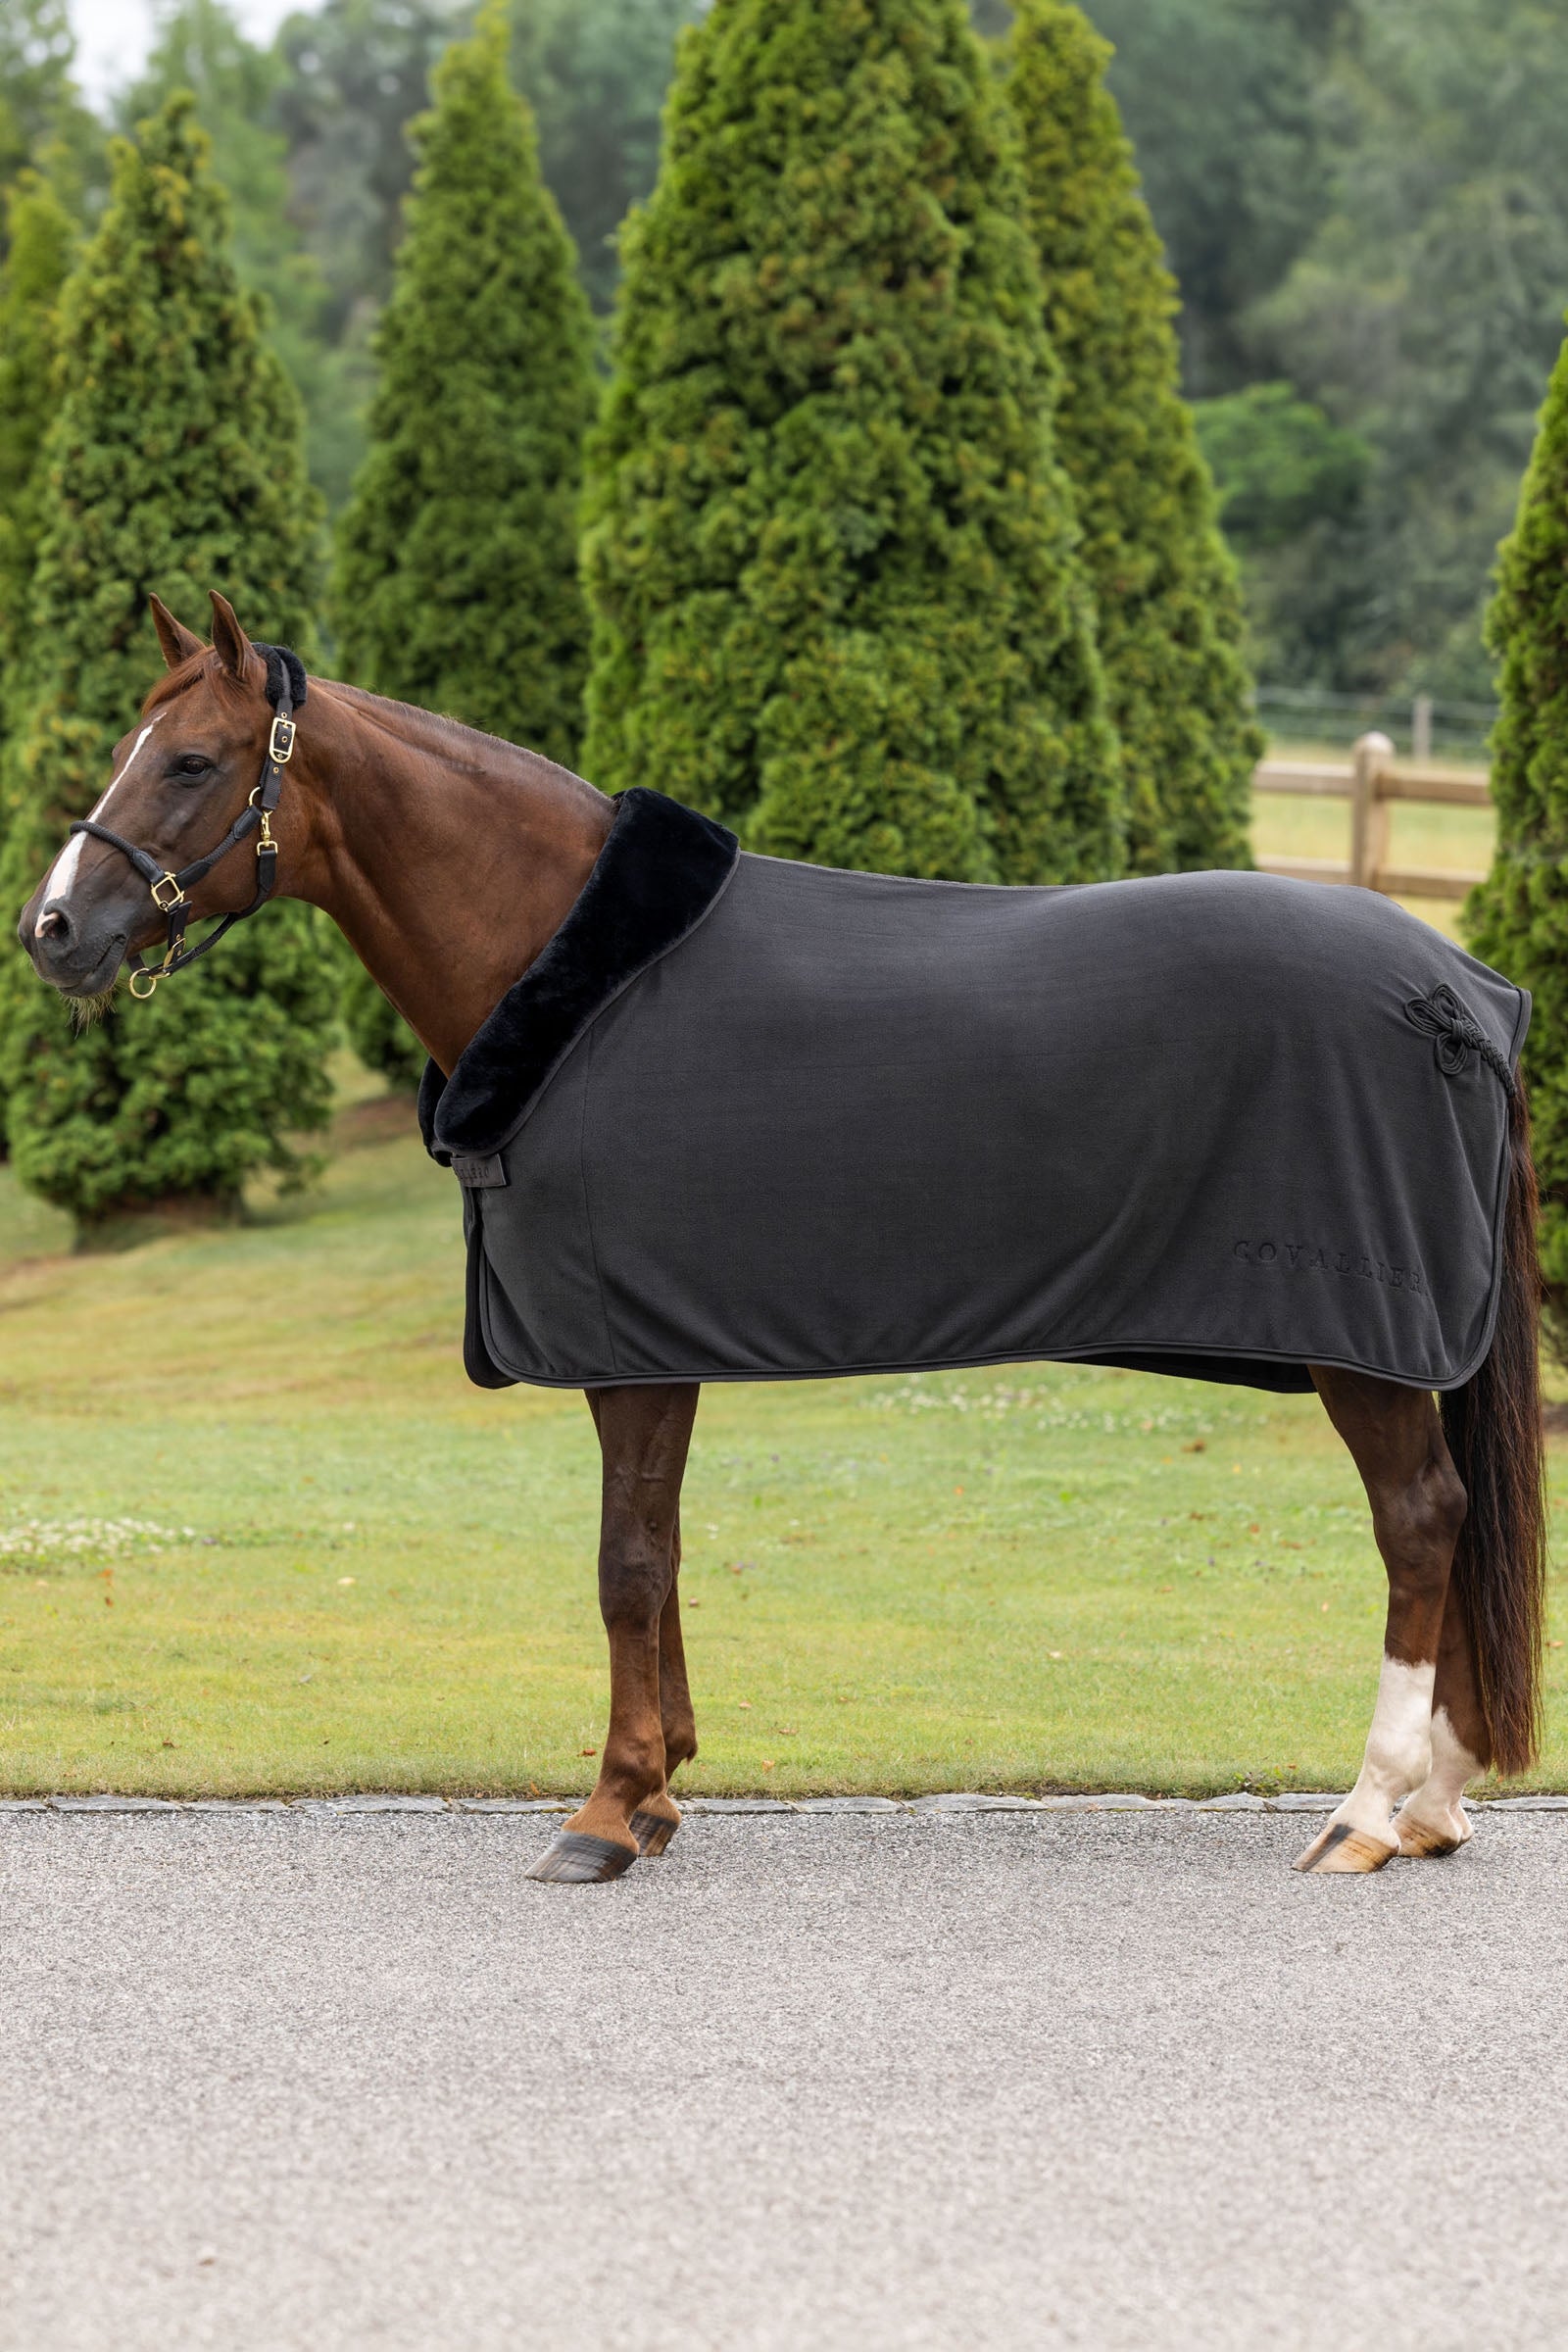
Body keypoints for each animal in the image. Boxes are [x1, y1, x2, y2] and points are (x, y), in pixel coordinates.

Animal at [17, 591, 1547, 1884]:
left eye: (193, 762)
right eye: (131, 747)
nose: (54, 930)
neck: (569, 968)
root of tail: (1456, 988)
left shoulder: (631, 1346)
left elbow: (624, 1564)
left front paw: (605, 1814)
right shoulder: (654, 1341)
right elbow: (664, 1551)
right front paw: (659, 1788)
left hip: (1366, 1344)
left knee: (1421, 1523)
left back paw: (1368, 1810)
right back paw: (1436, 1804)